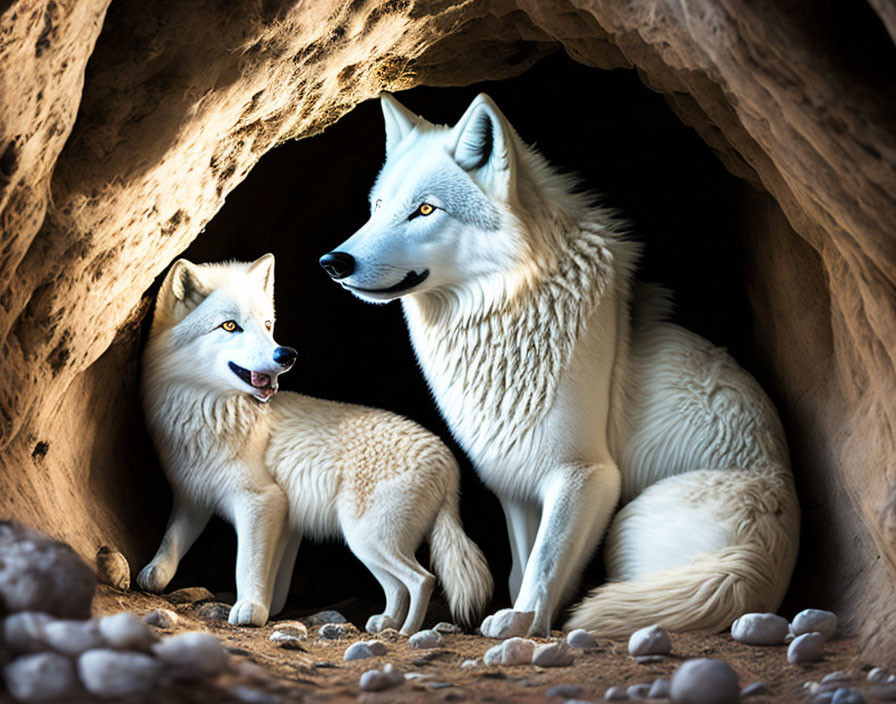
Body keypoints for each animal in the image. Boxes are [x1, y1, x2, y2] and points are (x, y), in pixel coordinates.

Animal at [136, 254, 494, 632]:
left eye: (267, 325)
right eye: (230, 326)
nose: (285, 355)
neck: (209, 414)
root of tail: (448, 459)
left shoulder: (261, 501)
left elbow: (247, 565)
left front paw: (251, 607)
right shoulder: (194, 498)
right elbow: (172, 542)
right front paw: (153, 573)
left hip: (367, 540)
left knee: (423, 579)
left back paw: (407, 632)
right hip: (369, 546)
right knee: (400, 585)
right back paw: (386, 623)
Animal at [320, 93, 800, 640]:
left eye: (424, 210)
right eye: (377, 208)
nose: (333, 262)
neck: (510, 313)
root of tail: (750, 564)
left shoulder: (584, 475)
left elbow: (545, 562)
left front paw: (522, 621)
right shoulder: (515, 483)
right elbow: (521, 564)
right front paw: (526, 618)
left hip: (627, 521)